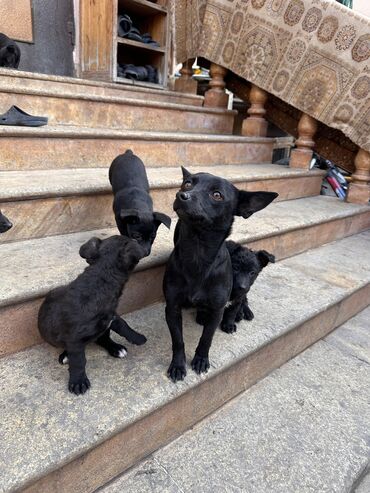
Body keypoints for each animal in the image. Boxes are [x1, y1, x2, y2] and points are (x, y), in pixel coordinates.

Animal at [38, 235, 145, 396]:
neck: (101, 278)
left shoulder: (111, 315)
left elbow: (122, 324)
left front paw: (137, 337)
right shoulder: (75, 340)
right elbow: (79, 361)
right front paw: (78, 381)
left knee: (103, 338)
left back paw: (115, 348)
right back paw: (66, 356)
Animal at [163, 167, 278, 382]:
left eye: (217, 195)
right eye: (188, 184)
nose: (181, 195)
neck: (197, 252)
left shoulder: (217, 310)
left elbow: (206, 338)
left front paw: (201, 360)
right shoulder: (172, 308)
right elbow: (178, 340)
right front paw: (178, 365)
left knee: (242, 298)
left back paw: (243, 311)